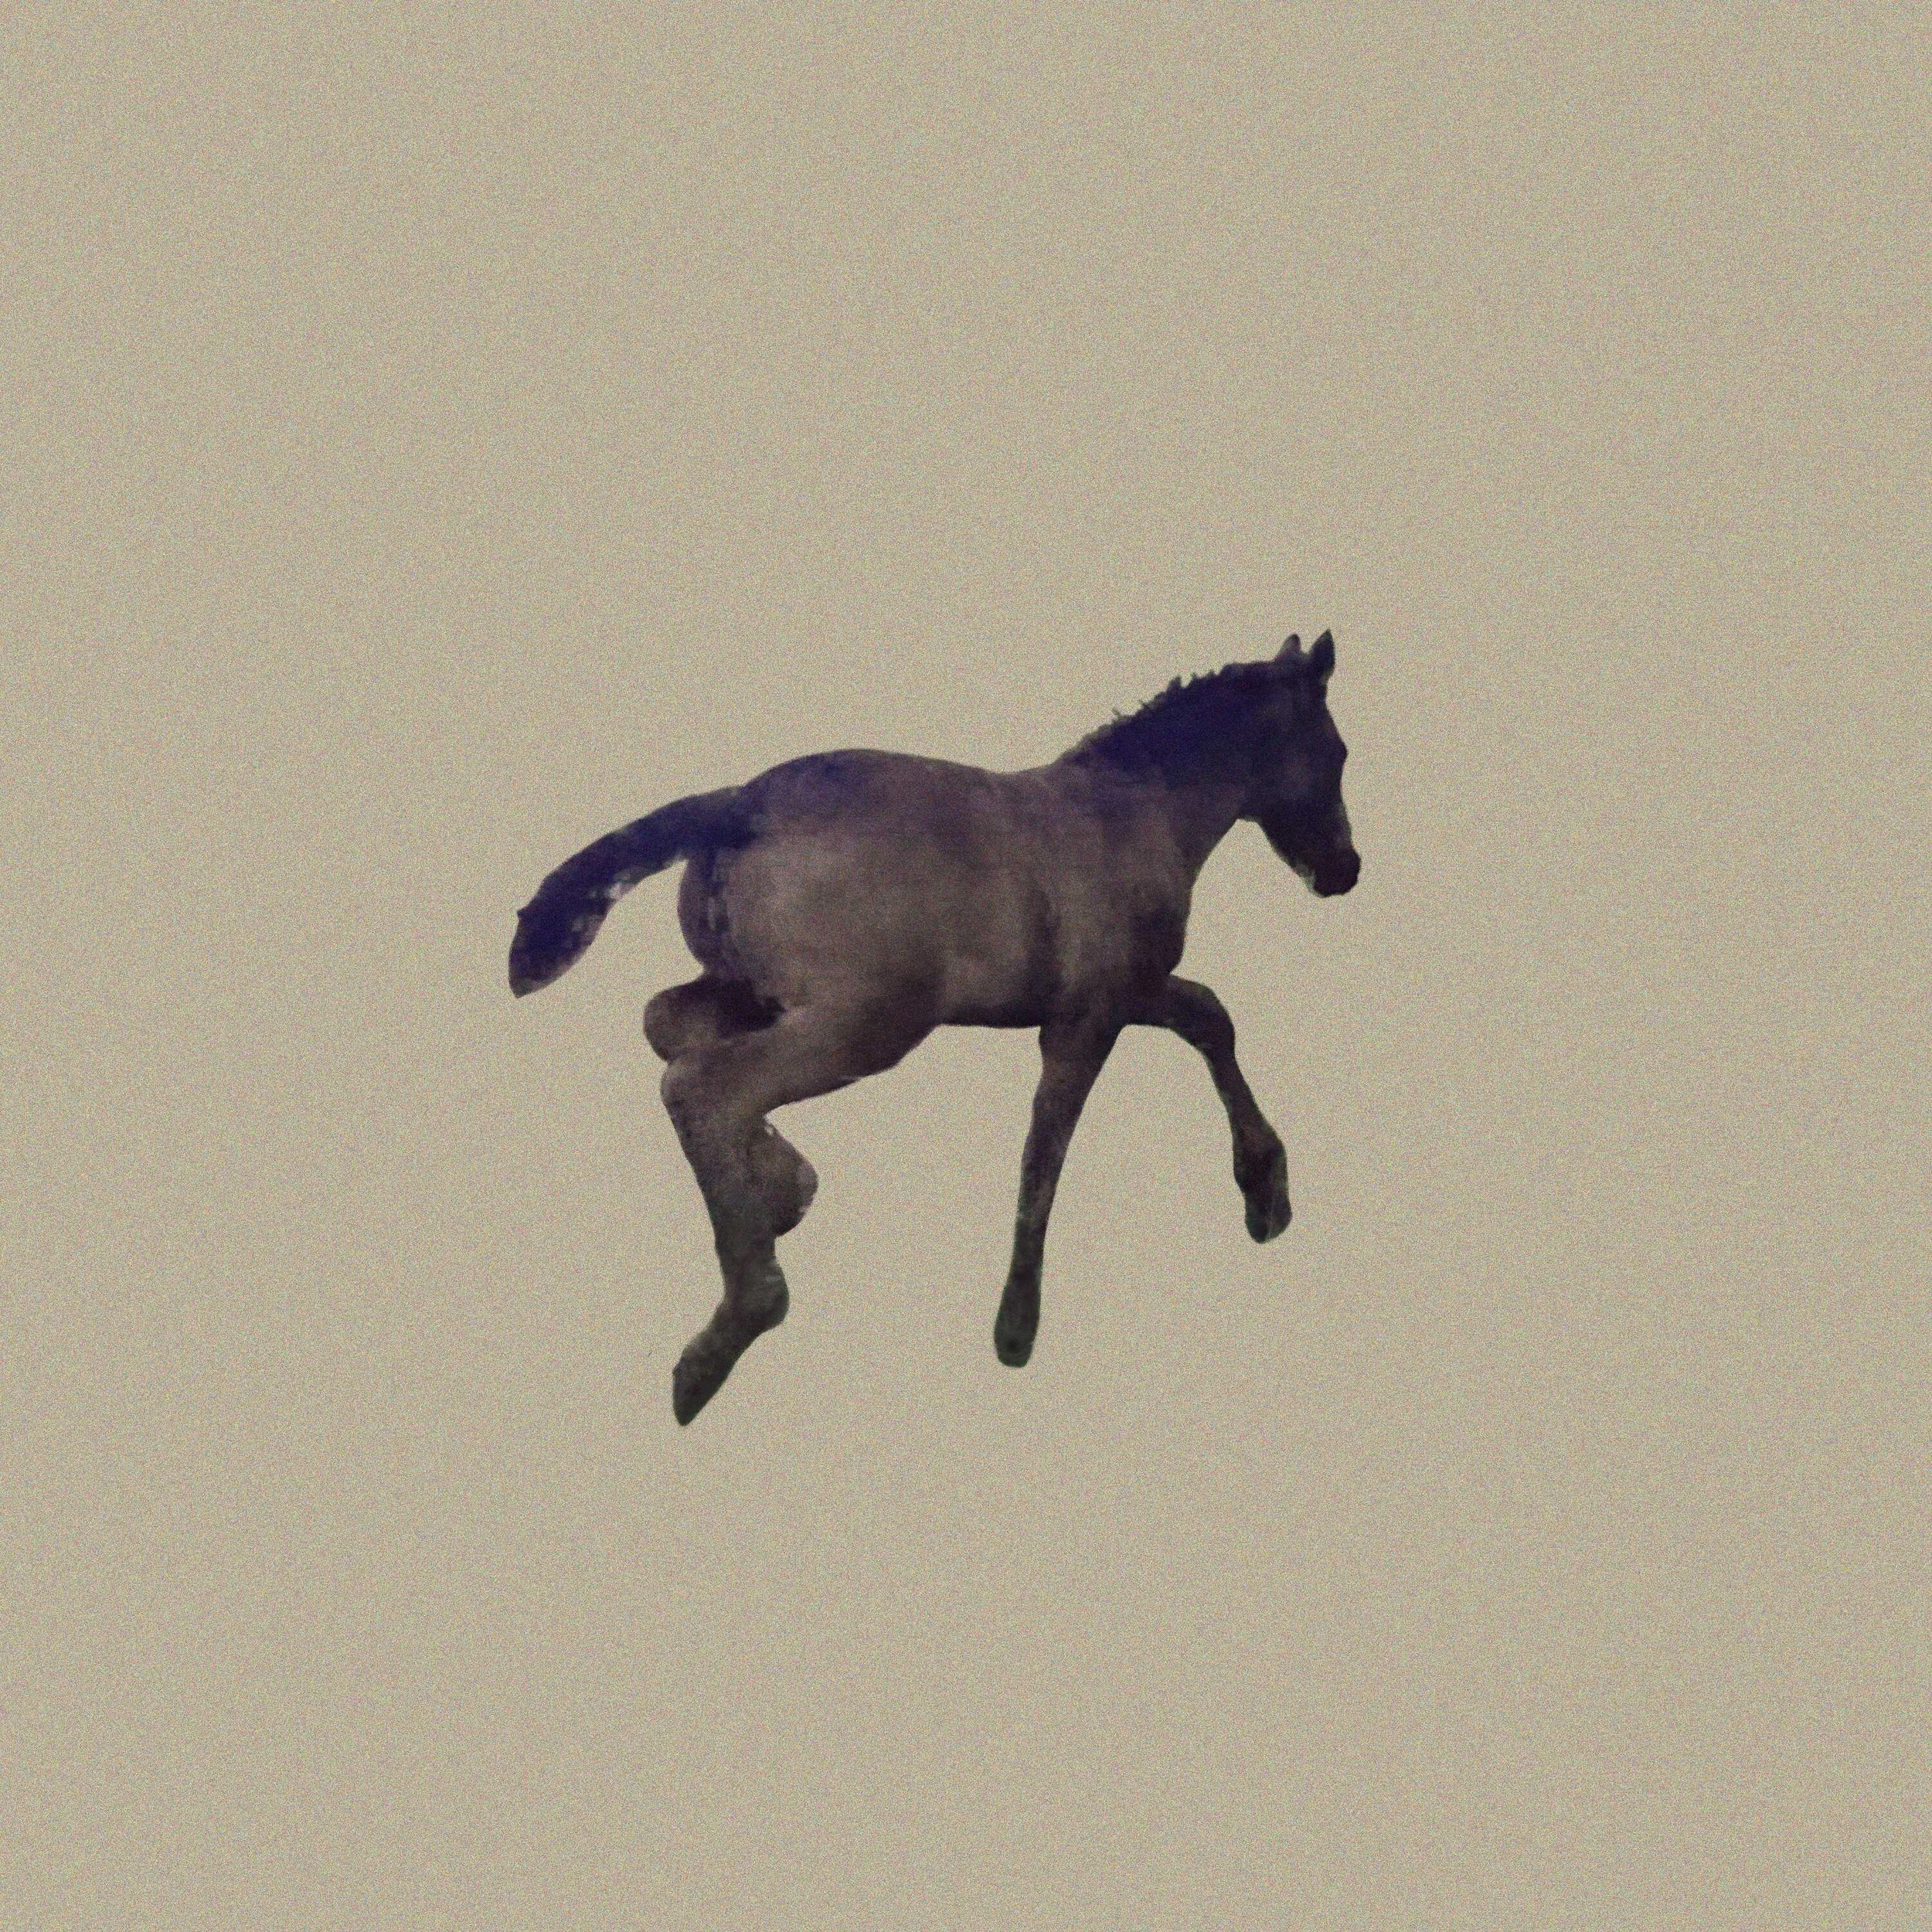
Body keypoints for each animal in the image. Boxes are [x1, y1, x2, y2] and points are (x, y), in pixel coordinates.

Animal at [510, 629, 1360, 1424]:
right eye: (1339, 752)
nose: (1345, 871)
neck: (1136, 809)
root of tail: (744, 803)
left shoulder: (1125, 992)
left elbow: (1210, 1015)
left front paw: (1266, 1192)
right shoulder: (1086, 1017)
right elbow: (1045, 1151)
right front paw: (1016, 1329)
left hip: (758, 994)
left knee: (669, 1028)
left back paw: (782, 1190)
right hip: (873, 1020)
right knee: (705, 1085)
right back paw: (731, 1329)